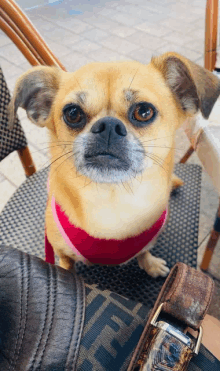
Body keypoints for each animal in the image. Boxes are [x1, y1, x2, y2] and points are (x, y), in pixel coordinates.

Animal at [8, 53, 220, 278]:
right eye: (72, 113)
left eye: (144, 111)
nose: (108, 125)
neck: (112, 198)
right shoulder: (60, 250)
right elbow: (66, 262)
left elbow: (143, 251)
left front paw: (150, 264)